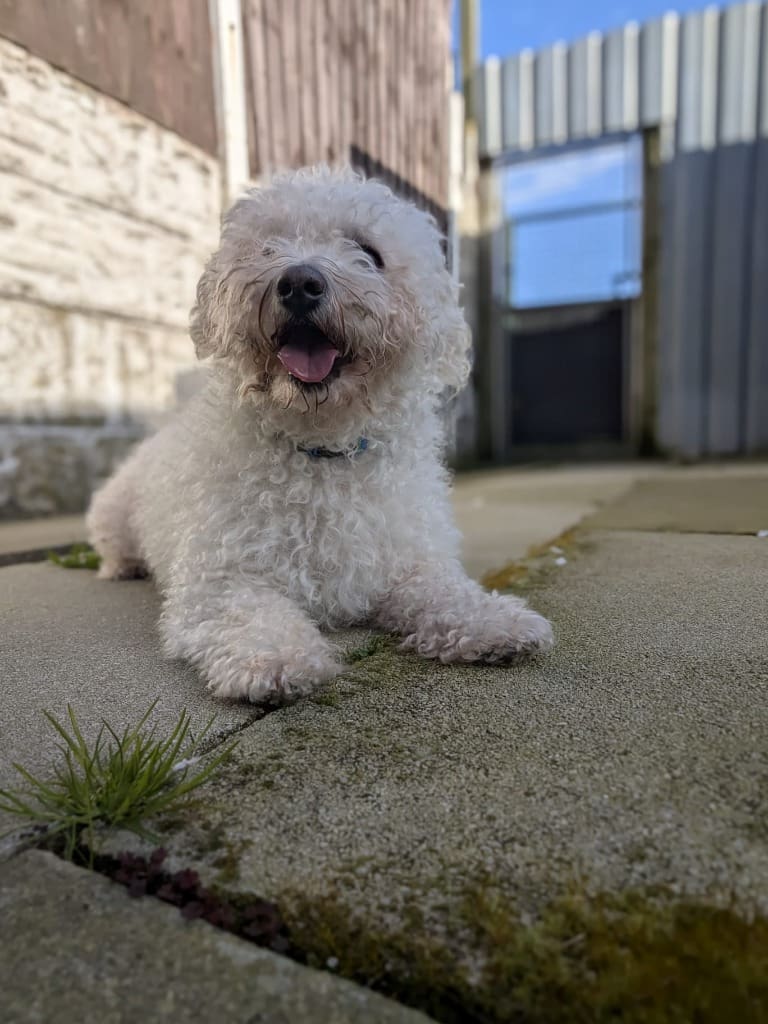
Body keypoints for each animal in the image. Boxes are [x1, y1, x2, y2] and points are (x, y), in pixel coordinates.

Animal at [86, 167, 553, 703]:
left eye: (370, 252)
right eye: (267, 247)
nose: (298, 282)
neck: (322, 450)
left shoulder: (409, 563)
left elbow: (445, 591)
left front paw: (492, 620)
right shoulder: (218, 578)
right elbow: (247, 615)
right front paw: (274, 658)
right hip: (114, 513)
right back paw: (123, 566)